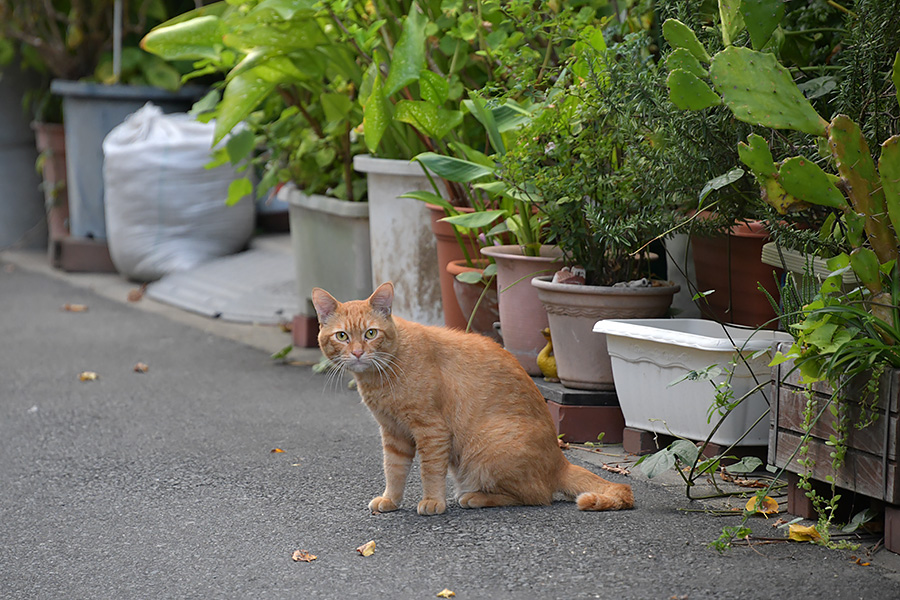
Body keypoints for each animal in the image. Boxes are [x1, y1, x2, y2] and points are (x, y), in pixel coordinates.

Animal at [312, 282, 636, 516]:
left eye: (370, 333)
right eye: (342, 336)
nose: (357, 352)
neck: (381, 376)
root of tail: (561, 461)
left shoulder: (431, 430)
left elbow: (430, 470)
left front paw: (432, 501)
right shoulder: (393, 434)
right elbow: (393, 470)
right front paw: (390, 500)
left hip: (486, 450)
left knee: (536, 496)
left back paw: (475, 497)